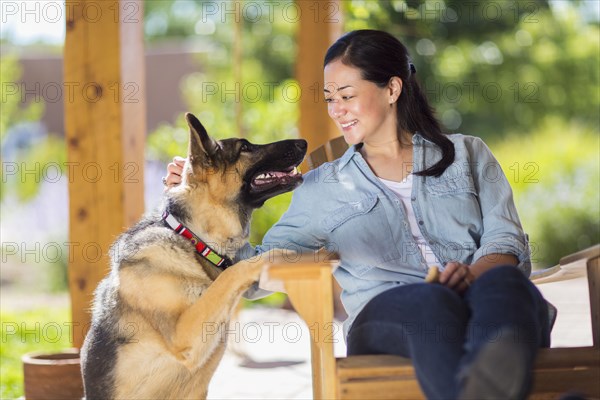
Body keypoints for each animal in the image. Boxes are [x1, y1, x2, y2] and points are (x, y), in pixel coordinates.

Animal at [82, 112, 308, 400]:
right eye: (245, 147)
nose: (303, 142)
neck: (194, 240)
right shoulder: (184, 334)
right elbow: (233, 273)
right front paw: (282, 254)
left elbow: (230, 276)